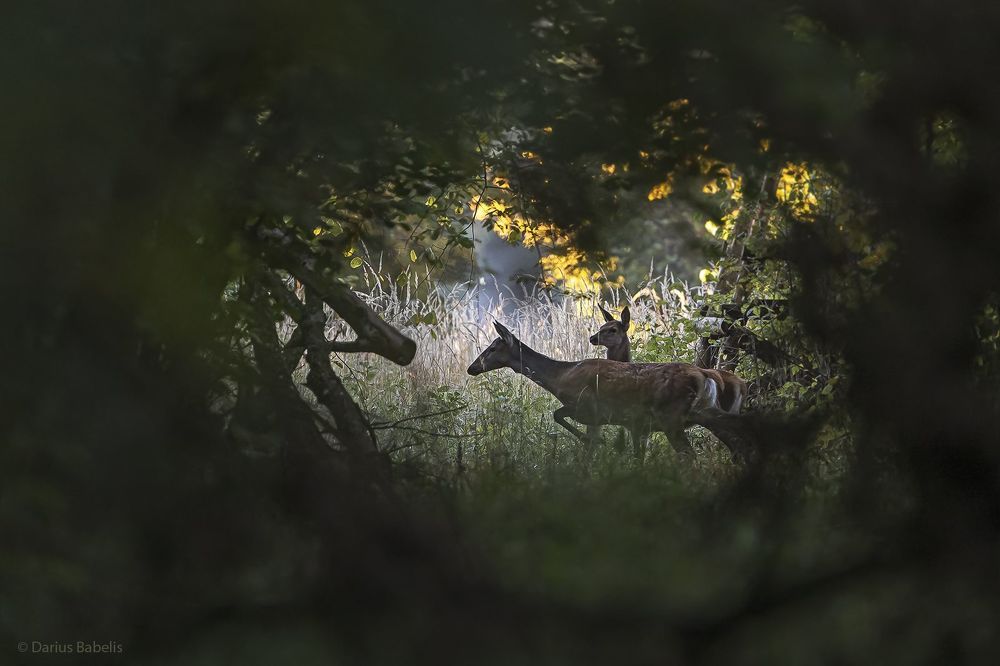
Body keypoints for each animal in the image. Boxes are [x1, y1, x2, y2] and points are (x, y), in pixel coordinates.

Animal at [468, 321, 745, 462]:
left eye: (492, 348)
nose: (472, 368)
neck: (560, 377)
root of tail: (706, 375)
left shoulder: (586, 407)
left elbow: (558, 415)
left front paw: (597, 442)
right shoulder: (616, 422)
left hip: (673, 418)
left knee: (693, 454)